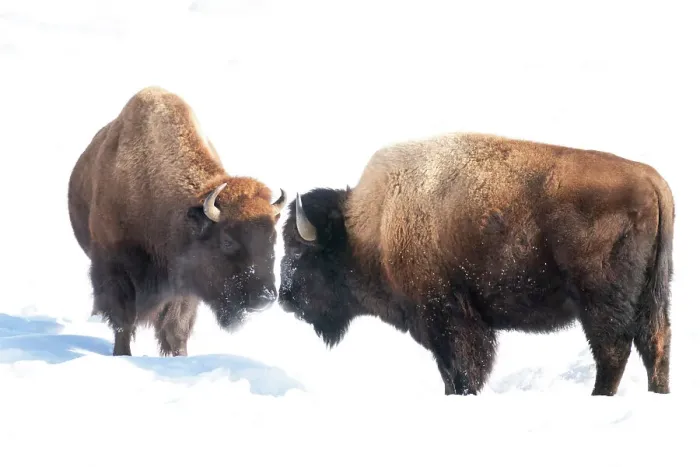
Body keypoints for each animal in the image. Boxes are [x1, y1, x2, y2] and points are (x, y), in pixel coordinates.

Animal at [68, 86, 287, 356]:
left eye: (273, 238)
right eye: (226, 241)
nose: (264, 298)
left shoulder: (184, 285)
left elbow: (176, 327)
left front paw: (179, 357)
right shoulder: (115, 268)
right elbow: (123, 320)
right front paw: (122, 355)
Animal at [278, 132, 674, 396]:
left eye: (299, 253)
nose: (284, 298)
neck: (374, 225)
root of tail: (651, 180)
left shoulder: (447, 319)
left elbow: (461, 370)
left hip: (600, 299)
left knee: (614, 349)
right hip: (654, 293)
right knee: (655, 342)